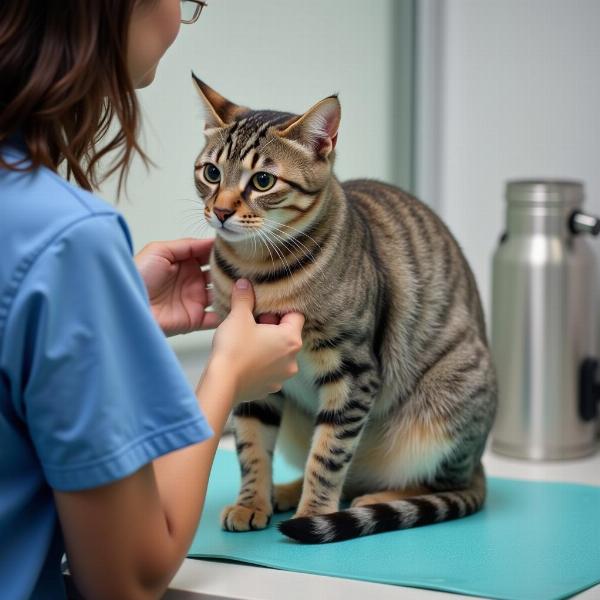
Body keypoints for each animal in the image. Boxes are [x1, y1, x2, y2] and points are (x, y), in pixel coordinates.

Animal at [192, 74, 496, 544]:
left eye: (262, 181)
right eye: (211, 173)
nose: (221, 210)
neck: (258, 270)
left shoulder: (352, 368)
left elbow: (330, 454)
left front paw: (314, 511)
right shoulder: (250, 366)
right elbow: (251, 445)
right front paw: (251, 502)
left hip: (448, 405)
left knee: (435, 482)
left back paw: (372, 498)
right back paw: (285, 491)